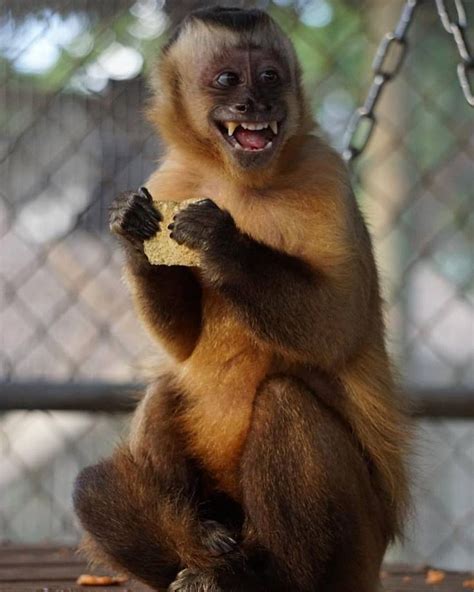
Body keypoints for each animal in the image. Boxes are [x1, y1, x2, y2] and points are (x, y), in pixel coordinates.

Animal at [74, 8, 412, 592]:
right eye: (230, 79)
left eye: (270, 77)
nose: (255, 104)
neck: (238, 180)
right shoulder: (170, 180)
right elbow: (181, 345)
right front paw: (135, 237)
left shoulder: (326, 172)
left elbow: (338, 323)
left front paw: (222, 243)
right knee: (164, 389)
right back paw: (206, 544)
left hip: (359, 552)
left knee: (283, 401)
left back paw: (268, 578)